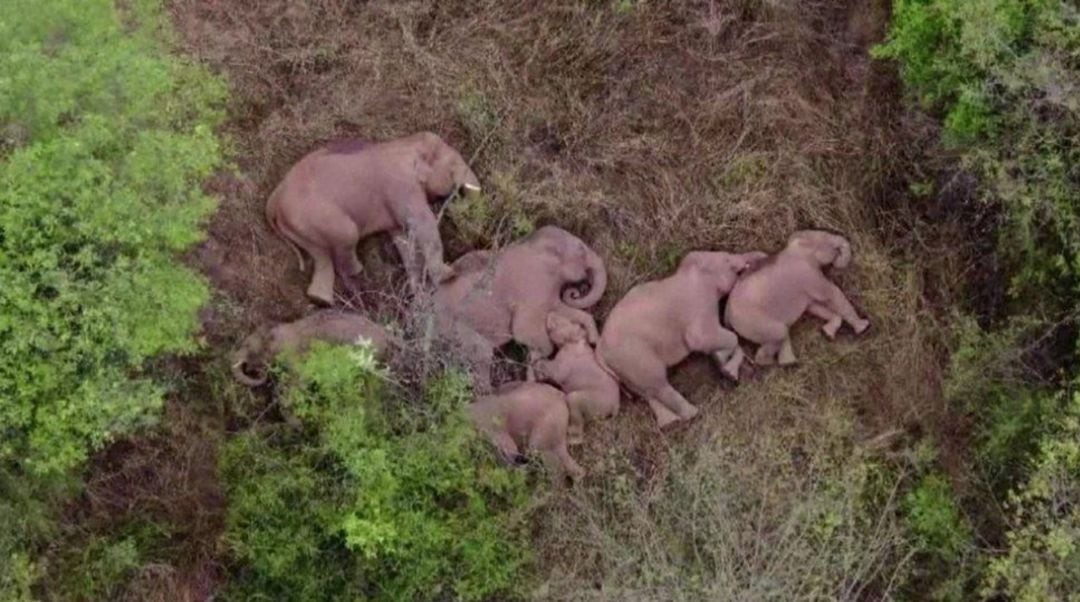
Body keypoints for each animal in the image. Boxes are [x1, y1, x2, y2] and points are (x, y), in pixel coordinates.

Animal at [265, 129, 481, 302]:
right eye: (453, 166)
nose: (456, 201)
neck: (406, 142)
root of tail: (273, 200)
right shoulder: (402, 184)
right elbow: (421, 222)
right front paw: (449, 276)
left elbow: (403, 239)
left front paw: (420, 296)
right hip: (316, 216)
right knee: (346, 238)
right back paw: (357, 276)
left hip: (300, 227)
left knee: (321, 256)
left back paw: (322, 300)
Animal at [432, 224, 609, 373]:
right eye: (581, 249)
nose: (575, 292)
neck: (532, 244)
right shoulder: (532, 286)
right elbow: (523, 331)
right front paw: (534, 358)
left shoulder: (548, 289)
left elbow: (563, 309)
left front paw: (593, 340)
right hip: (456, 329)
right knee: (481, 355)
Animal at [596, 248, 764, 427]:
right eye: (726, 259)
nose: (762, 256)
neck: (690, 270)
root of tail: (600, 351)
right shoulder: (700, 302)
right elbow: (703, 338)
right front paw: (725, 366)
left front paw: (724, 366)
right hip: (634, 357)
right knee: (658, 384)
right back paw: (693, 414)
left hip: (624, 369)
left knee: (646, 391)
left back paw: (669, 422)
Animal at [721, 228, 872, 363]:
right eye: (826, 238)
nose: (837, 262)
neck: (797, 246)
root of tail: (727, 315)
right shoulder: (809, 274)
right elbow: (833, 294)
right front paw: (863, 327)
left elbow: (814, 307)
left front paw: (827, 333)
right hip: (754, 323)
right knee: (779, 333)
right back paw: (774, 363)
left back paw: (789, 362)